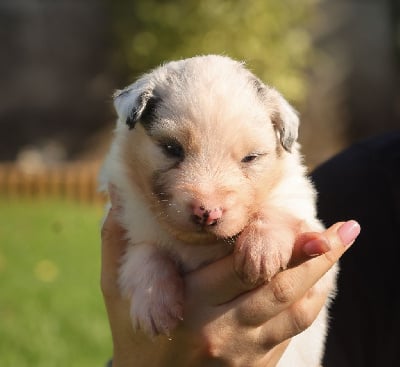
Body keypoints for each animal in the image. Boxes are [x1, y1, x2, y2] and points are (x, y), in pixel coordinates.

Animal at [101, 55, 338, 367]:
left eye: (251, 157)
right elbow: (145, 250)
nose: (207, 213)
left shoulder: (310, 231)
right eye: (171, 148)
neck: (199, 245)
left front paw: (261, 250)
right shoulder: (126, 214)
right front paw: (154, 305)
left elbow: (277, 210)